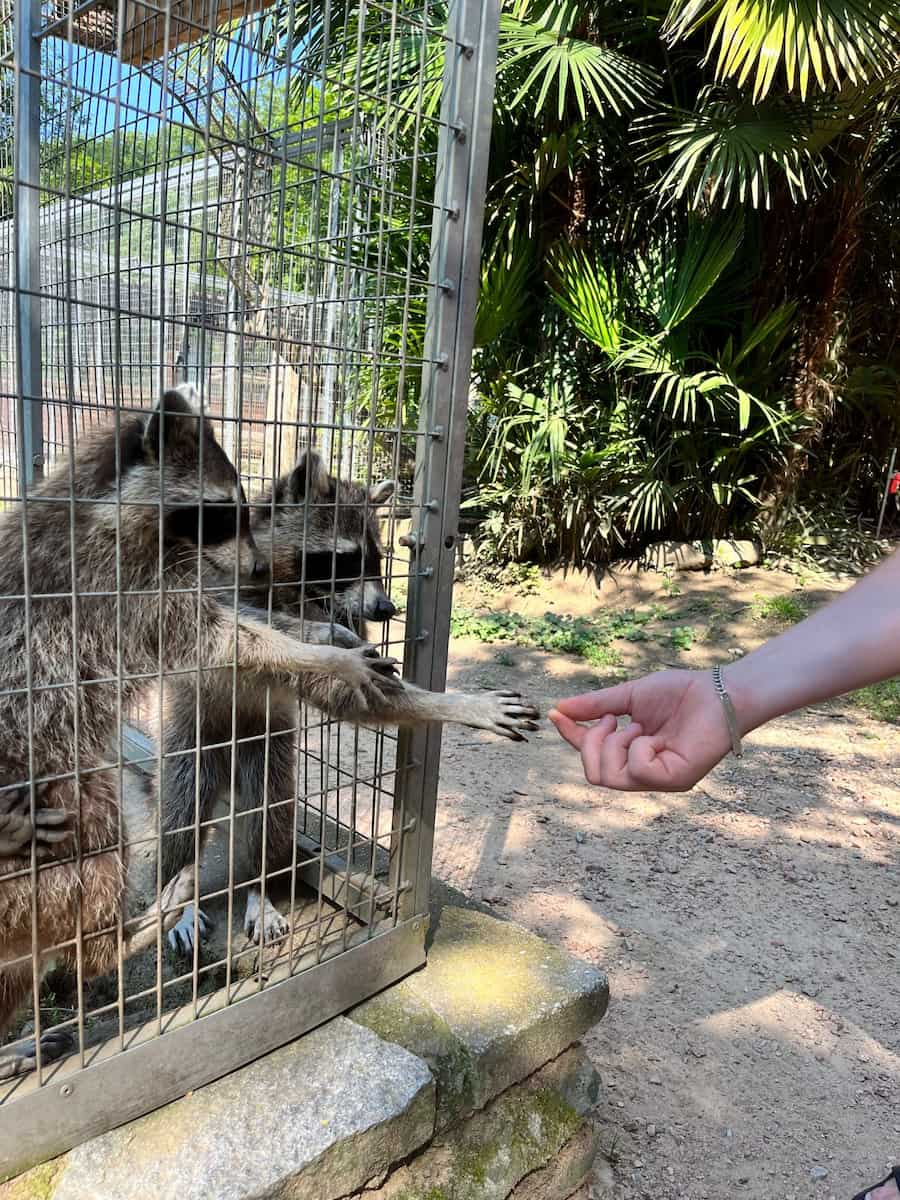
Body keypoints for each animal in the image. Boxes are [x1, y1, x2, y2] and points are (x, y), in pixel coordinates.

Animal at [160, 451, 542, 955]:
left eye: (379, 560)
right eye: (344, 560)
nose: (386, 610)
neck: (295, 589)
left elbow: (362, 692)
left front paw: (458, 704)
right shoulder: (216, 578)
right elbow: (219, 617)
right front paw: (324, 636)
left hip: (270, 750)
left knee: (269, 817)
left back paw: (260, 888)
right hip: (190, 738)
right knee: (180, 819)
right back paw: (178, 897)